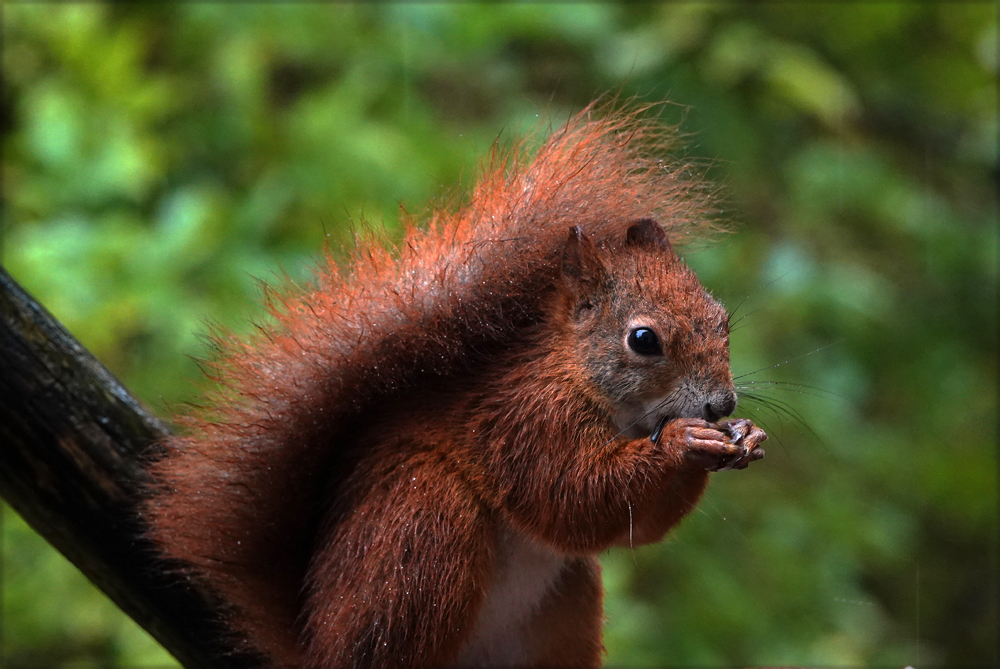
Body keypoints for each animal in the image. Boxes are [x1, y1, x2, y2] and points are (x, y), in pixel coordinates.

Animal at [145, 102, 764, 664]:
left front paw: (746, 435)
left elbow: (635, 524)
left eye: (722, 319)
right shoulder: (524, 419)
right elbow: (573, 493)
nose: (721, 403)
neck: (603, 396)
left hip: (561, 606)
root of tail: (317, 644)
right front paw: (685, 443)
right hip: (424, 531)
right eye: (643, 339)